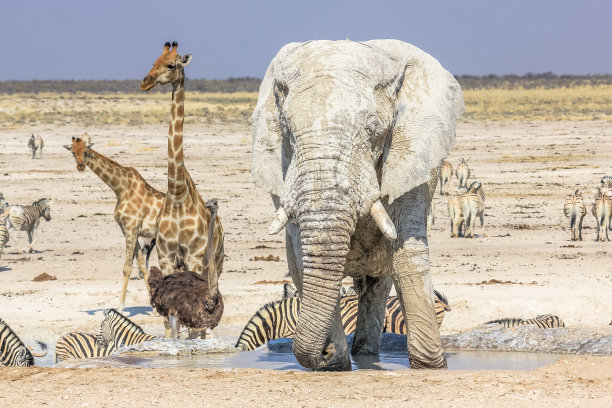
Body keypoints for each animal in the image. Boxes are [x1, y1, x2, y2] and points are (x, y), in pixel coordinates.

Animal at [64, 135, 165, 310]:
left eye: (86, 150)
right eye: (72, 151)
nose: (81, 166)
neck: (120, 188)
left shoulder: (131, 229)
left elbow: (127, 268)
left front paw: (120, 306)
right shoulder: (129, 231)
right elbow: (141, 266)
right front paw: (152, 305)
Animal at [140, 43, 225, 340]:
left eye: (171, 65)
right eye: (153, 60)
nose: (145, 82)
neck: (177, 195)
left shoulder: (194, 257)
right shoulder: (166, 257)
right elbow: (167, 323)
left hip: (215, 262)